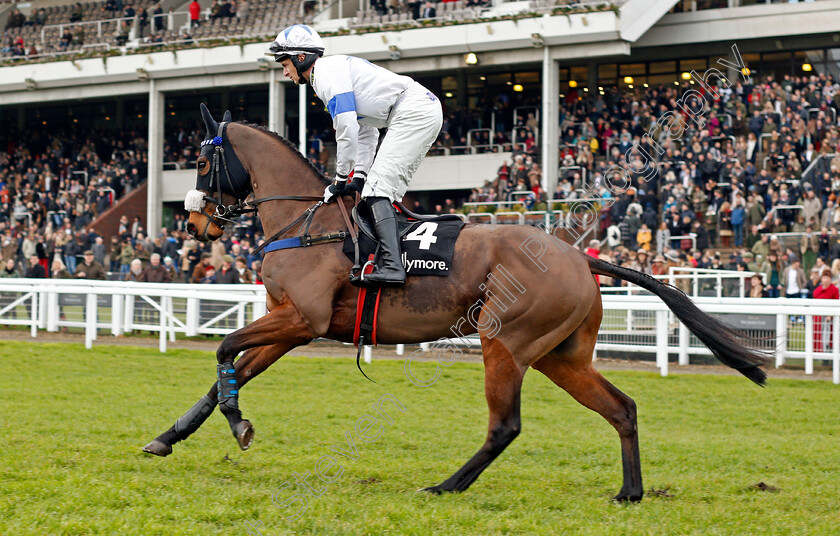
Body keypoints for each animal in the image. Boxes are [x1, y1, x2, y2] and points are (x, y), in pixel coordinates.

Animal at [141, 105, 772, 502]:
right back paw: (630, 491)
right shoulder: (290, 324)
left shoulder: (301, 319)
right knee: (623, 408)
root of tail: (580, 258)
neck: (309, 223)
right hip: (561, 355)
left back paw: (446, 485)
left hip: (506, 340)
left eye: (202, 162)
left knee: (506, 425)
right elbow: (230, 371)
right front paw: (169, 437)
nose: (195, 225)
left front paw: (239, 425)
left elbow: (223, 349)